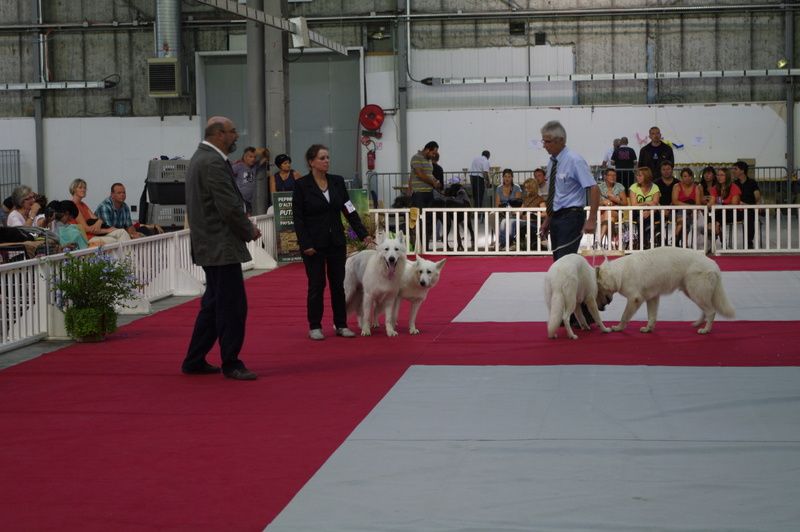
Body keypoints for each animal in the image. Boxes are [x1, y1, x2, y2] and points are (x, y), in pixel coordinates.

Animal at [592, 245, 736, 332]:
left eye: (598, 291)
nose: (599, 308)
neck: (619, 274)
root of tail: (714, 265)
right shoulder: (652, 298)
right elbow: (652, 316)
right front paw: (648, 329)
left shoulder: (635, 299)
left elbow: (624, 316)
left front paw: (618, 328)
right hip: (693, 293)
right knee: (705, 311)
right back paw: (697, 324)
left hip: (696, 293)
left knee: (711, 311)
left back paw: (705, 330)